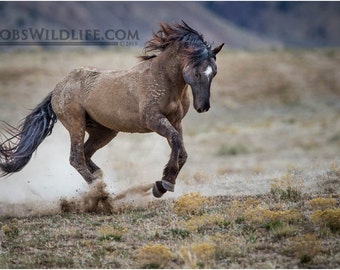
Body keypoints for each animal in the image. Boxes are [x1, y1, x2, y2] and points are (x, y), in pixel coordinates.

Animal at [0, 21, 224, 197]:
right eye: (197, 73)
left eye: (214, 73)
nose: (203, 107)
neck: (163, 79)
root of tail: (58, 88)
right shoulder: (153, 120)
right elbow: (175, 141)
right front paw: (165, 182)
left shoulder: (176, 121)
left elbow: (182, 152)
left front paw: (162, 184)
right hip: (76, 124)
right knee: (76, 158)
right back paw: (102, 193)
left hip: (104, 131)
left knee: (86, 154)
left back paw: (102, 181)